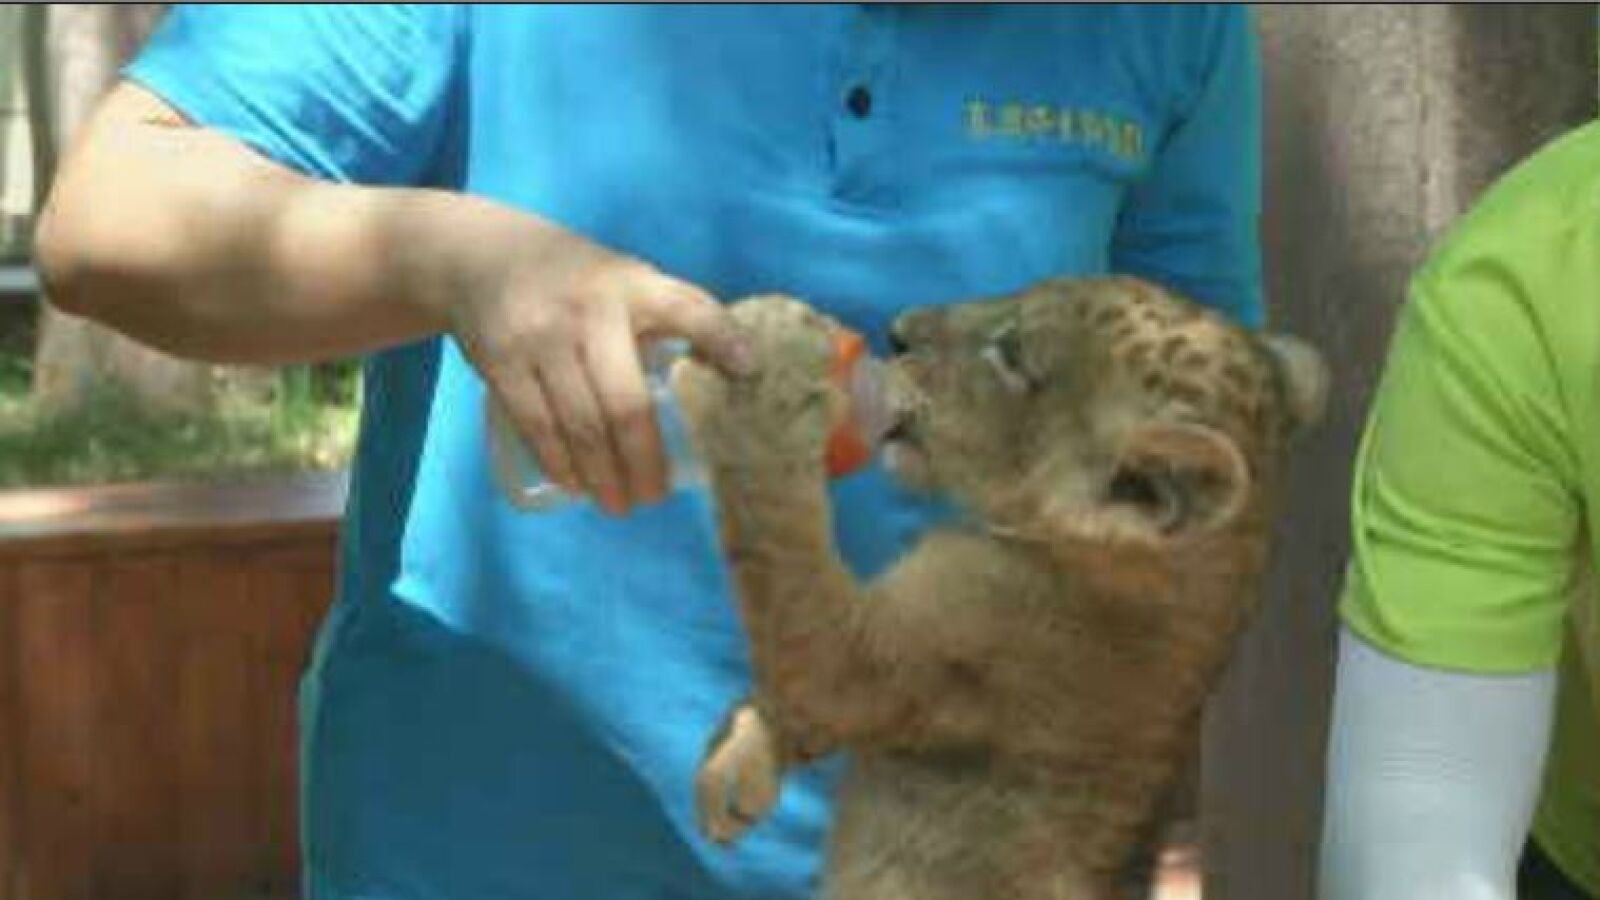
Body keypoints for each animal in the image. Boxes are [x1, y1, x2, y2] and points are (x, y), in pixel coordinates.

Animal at [672, 276, 1328, 900]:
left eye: (1011, 355)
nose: (896, 332)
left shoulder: (869, 658)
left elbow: (777, 531)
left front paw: (770, 367)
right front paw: (731, 772)